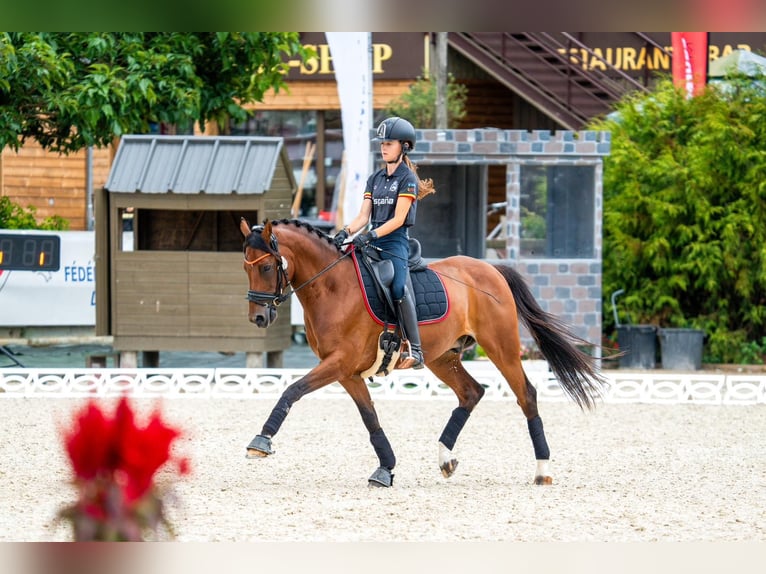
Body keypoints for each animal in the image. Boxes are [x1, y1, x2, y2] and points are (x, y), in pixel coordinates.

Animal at [240, 218, 608, 488]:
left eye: (268, 268)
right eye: (245, 268)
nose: (258, 318)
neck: (332, 286)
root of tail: (491, 269)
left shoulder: (339, 363)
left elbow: (292, 390)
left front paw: (261, 440)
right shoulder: (346, 371)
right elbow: (370, 418)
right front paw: (385, 469)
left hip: (500, 347)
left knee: (526, 395)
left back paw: (542, 470)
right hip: (442, 356)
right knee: (471, 392)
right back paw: (446, 458)